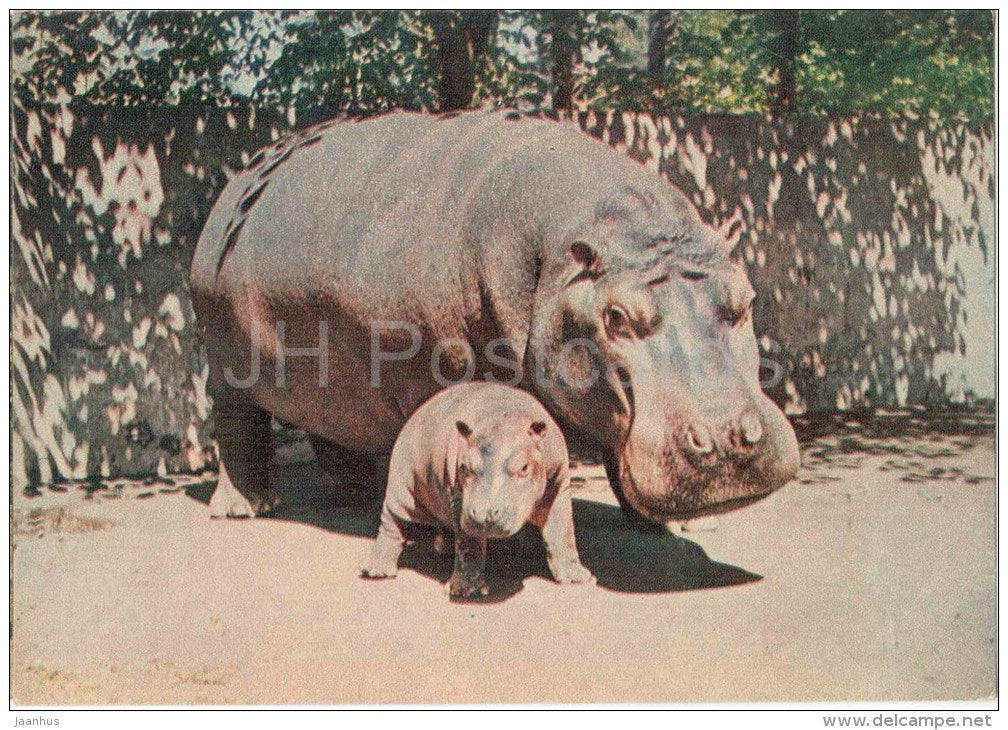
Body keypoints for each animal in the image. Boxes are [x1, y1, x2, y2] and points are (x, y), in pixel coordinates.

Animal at [190, 108, 800, 527]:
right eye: (616, 317)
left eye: (746, 299)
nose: (727, 441)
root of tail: (237, 184)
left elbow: (617, 451)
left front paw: (665, 523)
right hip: (226, 366)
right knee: (238, 426)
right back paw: (246, 507)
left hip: (333, 374)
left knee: (336, 426)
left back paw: (353, 498)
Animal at [360, 382, 592, 598]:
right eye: (464, 467)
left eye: (524, 467)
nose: (483, 514)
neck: (505, 417)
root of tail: (414, 415)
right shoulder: (458, 494)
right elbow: (468, 543)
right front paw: (466, 592)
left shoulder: (559, 481)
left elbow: (562, 530)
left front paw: (578, 578)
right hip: (401, 479)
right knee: (392, 520)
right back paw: (379, 571)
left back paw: (443, 550)